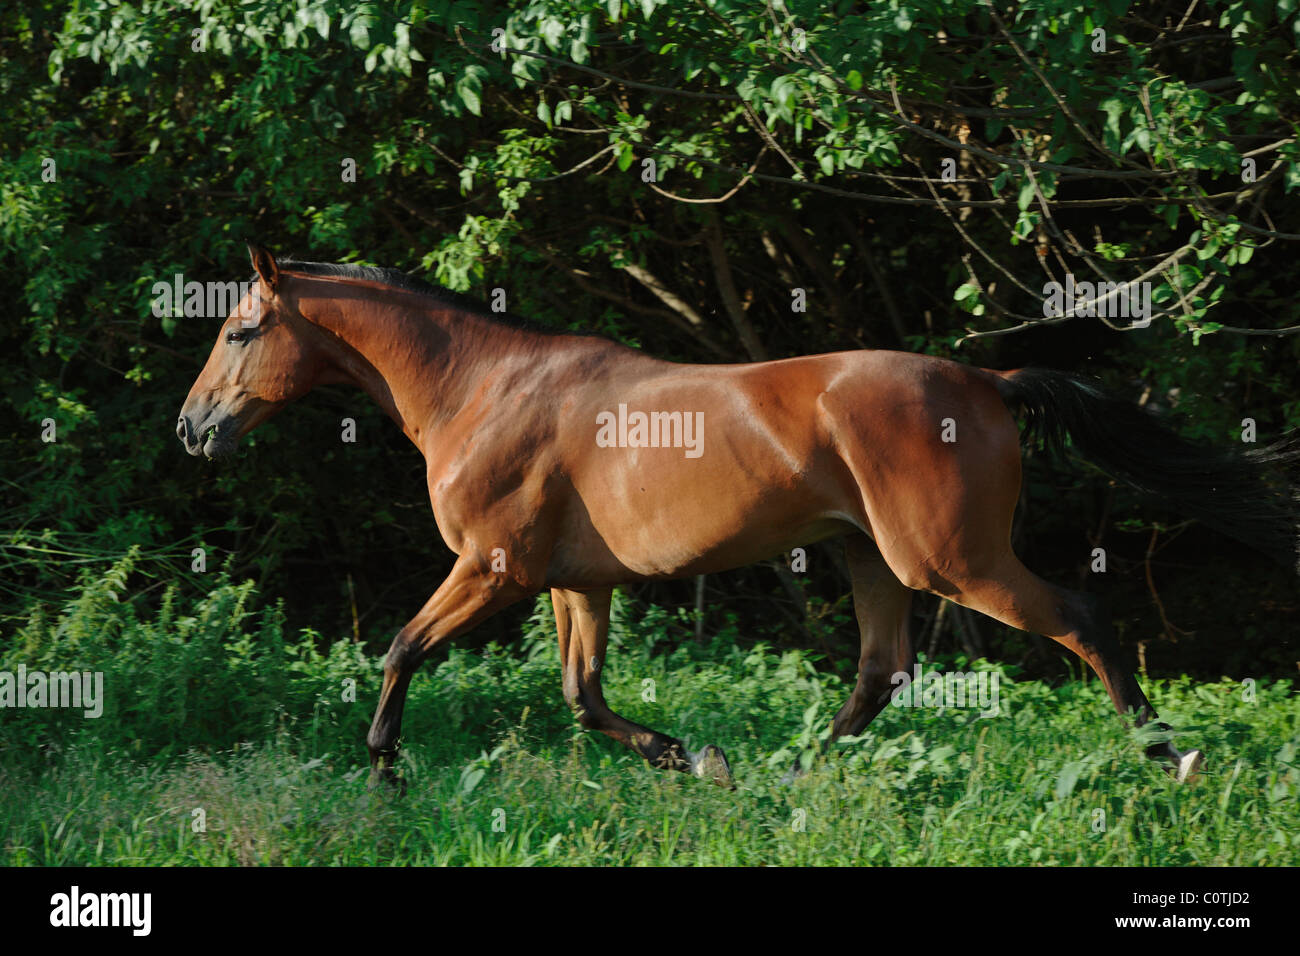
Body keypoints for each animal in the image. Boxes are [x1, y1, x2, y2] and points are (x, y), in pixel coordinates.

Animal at [177, 245, 1300, 788]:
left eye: (238, 331)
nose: (193, 429)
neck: (483, 390)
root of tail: (986, 380)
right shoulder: (576, 583)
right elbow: (583, 697)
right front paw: (693, 759)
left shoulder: (495, 568)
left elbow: (402, 646)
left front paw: (383, 769)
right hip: (870, 559)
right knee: (882, 672)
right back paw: (791, 772)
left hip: (950, 559)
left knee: (1079, 618)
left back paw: (1169, 756)